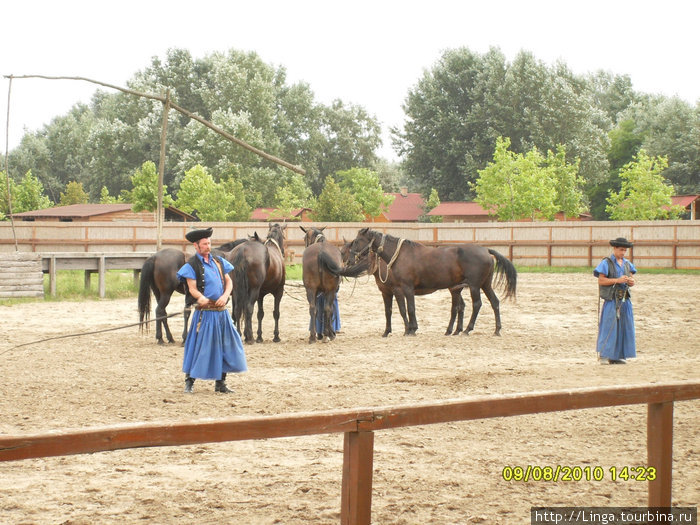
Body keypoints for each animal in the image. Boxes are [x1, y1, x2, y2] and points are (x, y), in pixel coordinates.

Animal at [334, 228, 516, 336]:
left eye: (357, 241)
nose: (349, 260)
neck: (398, 256)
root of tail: (485, 250)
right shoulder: (393, 291)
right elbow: (394, 310)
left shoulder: (405, 288)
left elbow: (409, 309)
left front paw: (411, 329)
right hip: (484, 285)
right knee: (494, 302)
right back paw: (496, 329)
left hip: (474, 286)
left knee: (477, 304)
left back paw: (467, 329)